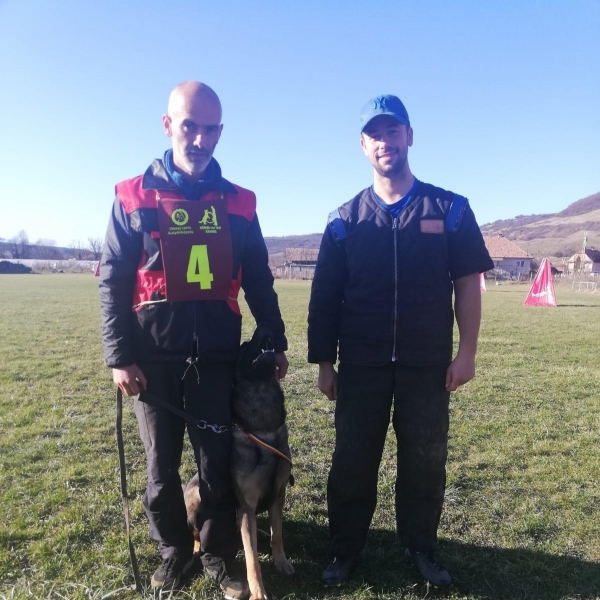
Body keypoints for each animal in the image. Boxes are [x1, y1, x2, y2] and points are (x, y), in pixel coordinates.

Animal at [184, 325, 294, 600]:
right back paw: (196, 549)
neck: (263, 429)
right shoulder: (246, 505)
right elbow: (252, 559)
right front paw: (258, 593)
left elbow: (278, 533)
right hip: (197, 497)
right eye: (244, 346)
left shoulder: (278, 495)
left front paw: (281, 561)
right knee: (197, 533)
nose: (266, 326)